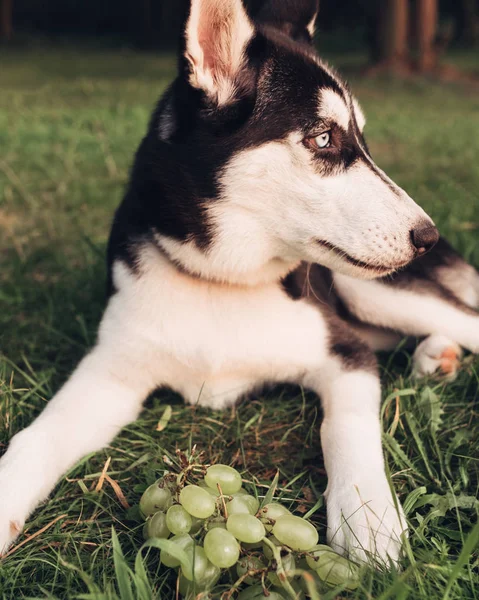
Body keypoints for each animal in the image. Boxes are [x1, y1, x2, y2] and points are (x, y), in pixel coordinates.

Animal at [0, 0, 479, 568]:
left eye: (361, 140)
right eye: (323, 138)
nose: (427, 235)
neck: (222, 281)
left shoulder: (345, 354)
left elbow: (345, 426)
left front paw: (368, 515)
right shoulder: (111, 372)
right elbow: (37, 437)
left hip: (368, 288)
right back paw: (434, 357)